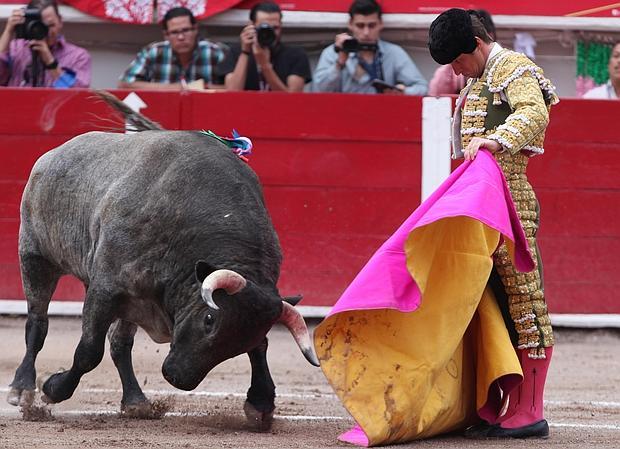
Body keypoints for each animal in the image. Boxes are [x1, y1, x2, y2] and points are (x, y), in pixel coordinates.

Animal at [4, 93, 318, 428]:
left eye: (244, 339)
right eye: (209, 319)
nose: (178, 377)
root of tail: (54, 154)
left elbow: (260, 350)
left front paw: (261, 403)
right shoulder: (105, 288)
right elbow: (88, 351)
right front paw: (52, 389)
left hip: (124, 301)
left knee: (120, 343)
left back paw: (136, 401)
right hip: (35, 256)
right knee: (38, 324)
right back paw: (22, 390)